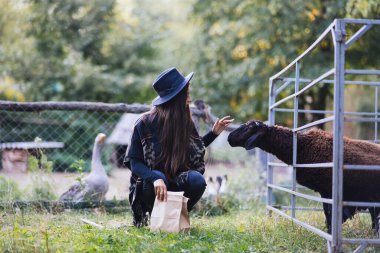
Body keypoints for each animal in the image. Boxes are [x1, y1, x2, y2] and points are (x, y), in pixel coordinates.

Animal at [227, 120, 380, 233]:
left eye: (250, 127)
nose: (229, 138)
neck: (300, 147)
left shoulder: (329, 192)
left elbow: (329, 216)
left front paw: (329, 234)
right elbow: (328, 216)